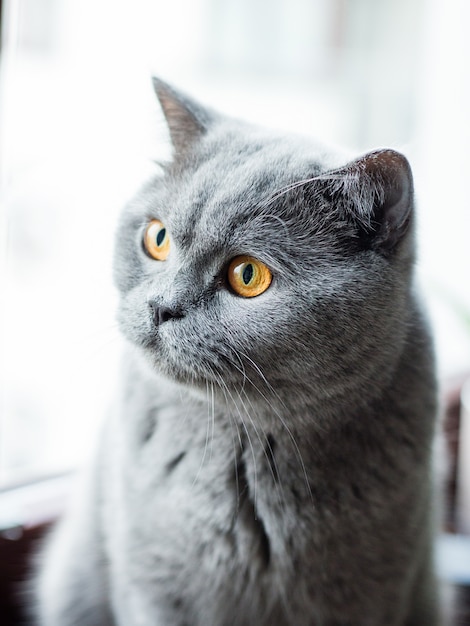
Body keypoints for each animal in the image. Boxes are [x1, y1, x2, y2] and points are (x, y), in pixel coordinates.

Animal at [34, 79, 440, 624]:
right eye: (157, 238)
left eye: (248, 275)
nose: (161, 307)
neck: (243, 449)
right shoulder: (154, 590)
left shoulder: (369, 595)